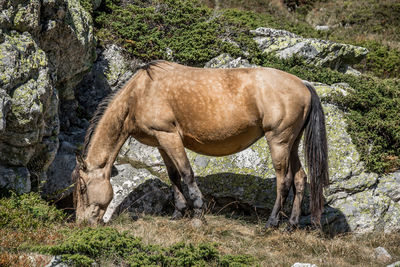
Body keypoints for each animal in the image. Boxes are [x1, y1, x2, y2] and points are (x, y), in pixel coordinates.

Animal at [72, 60, 328, 228]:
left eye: (83, 188)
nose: (83, 223)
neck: (140, 94)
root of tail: (303, 84)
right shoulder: (161, 142)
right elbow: (174, 176)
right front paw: (178, 213)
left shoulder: (169, 135)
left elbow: (186, 173)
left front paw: (197, 212)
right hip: (291, 143)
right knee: (300, 178)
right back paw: (291, 224)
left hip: (279, 141)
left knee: (283, 181)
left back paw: (272, 223)